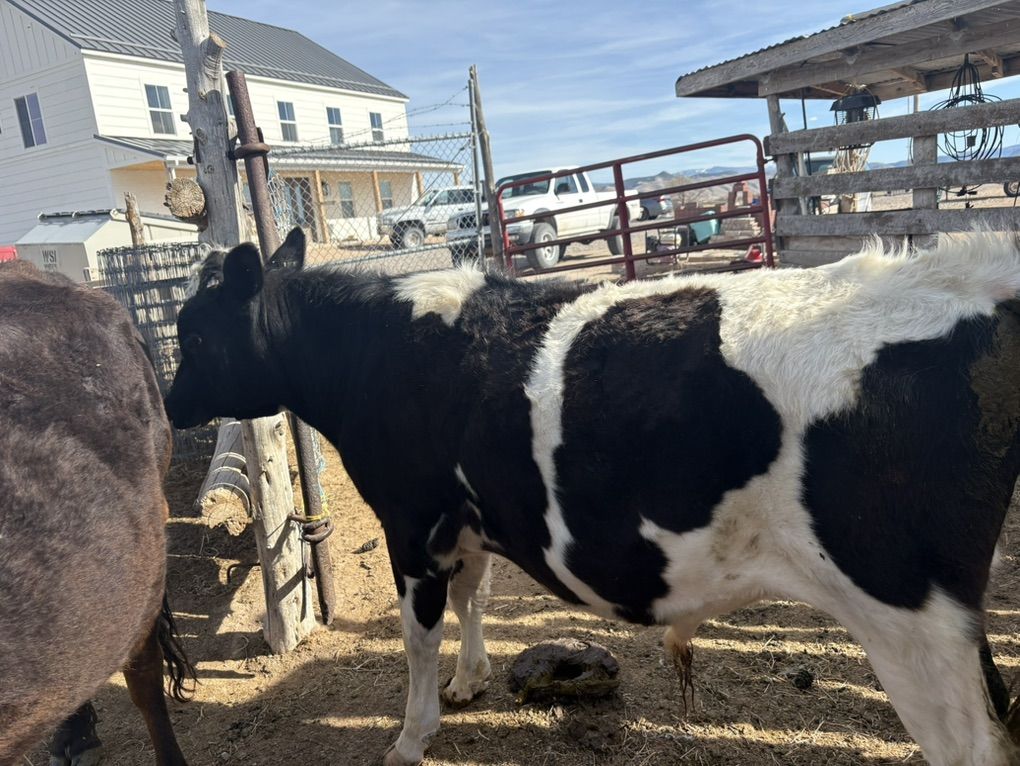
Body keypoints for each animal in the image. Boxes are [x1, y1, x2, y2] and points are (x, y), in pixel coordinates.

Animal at [164, 227, 1020, 766]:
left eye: (193, 335)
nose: (169, 405)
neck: (372, 350)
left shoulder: (412, 520)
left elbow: (419, 635)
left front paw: (412, 736)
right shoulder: (467, 519)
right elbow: (474, 597)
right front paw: (471, 681)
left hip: (907, 614)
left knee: (973, 744)